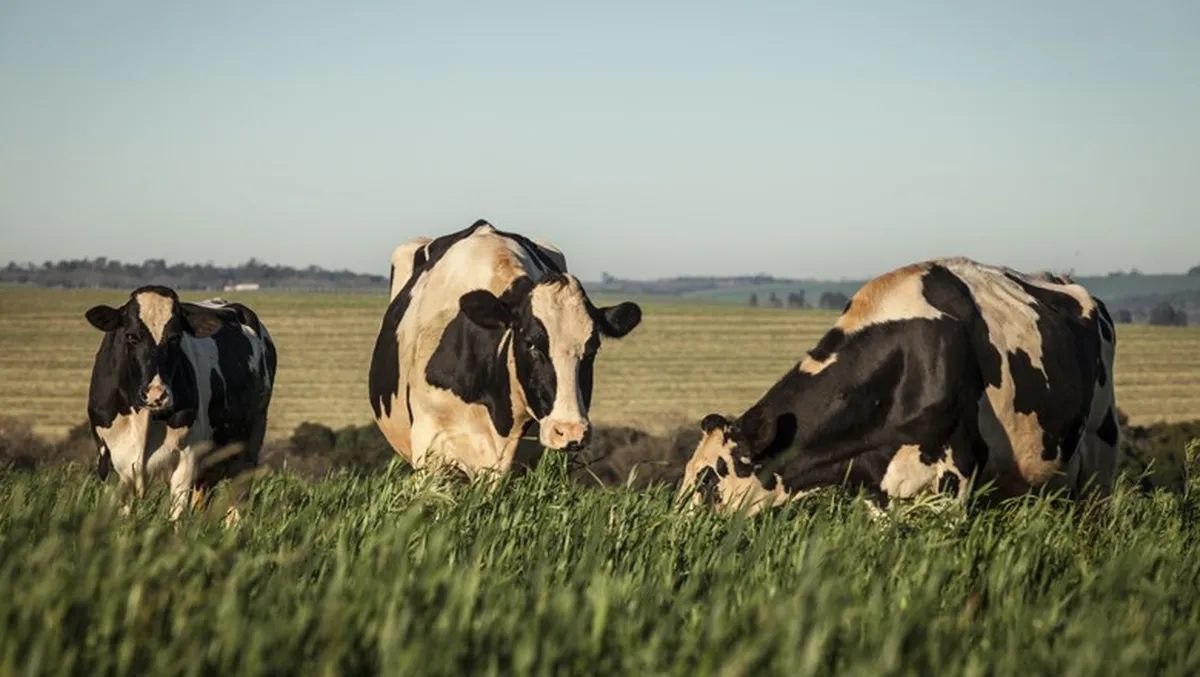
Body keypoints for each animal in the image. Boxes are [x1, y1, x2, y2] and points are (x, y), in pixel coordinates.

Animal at [85, 284, 276, 518]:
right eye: (130, 336)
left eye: (175, 338)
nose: (156, 394)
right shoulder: (109, 464)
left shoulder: (186, 459)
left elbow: (176, 517)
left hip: (249, 445)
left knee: (237, 501)